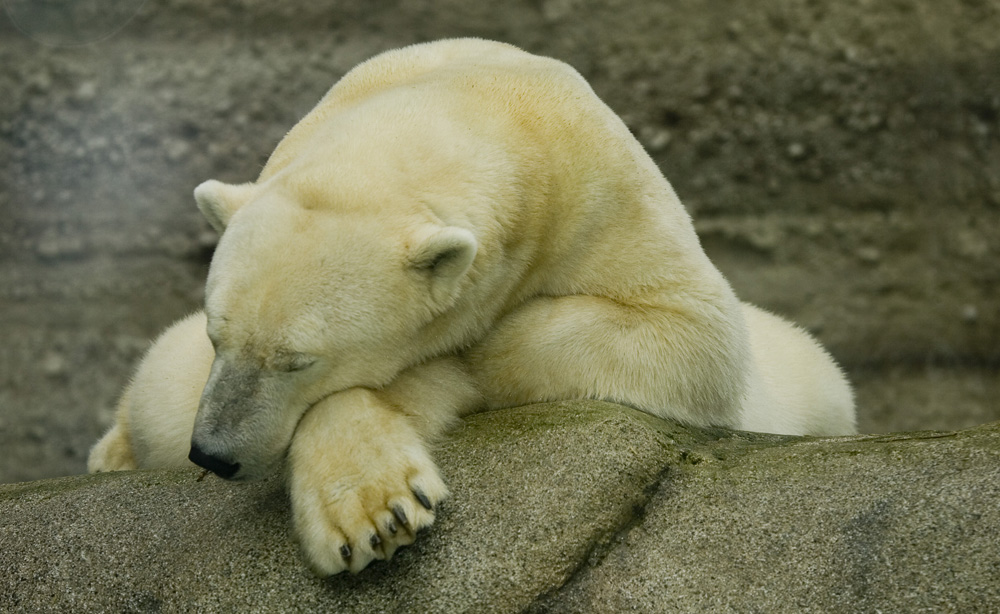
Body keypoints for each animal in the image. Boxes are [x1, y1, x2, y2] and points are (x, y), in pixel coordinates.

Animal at [88, 37, 852, 576]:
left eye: (298, 360)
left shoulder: (609, 201)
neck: (487, 97)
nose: (212, 455)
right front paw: (377, 508)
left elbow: (693, 339)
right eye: (219, 337)